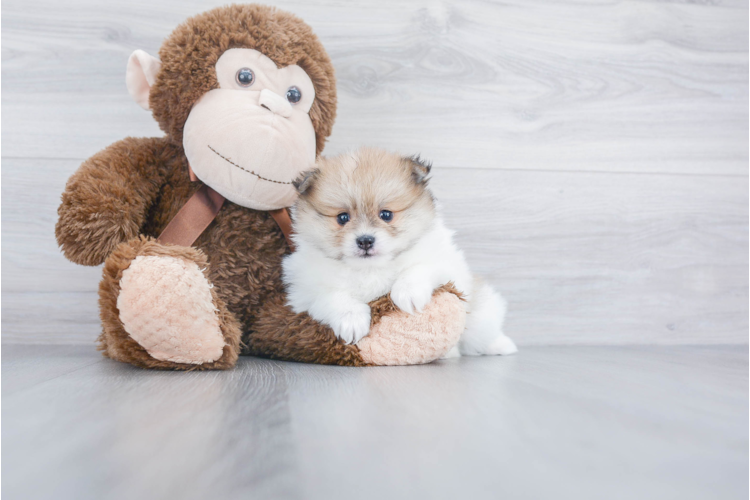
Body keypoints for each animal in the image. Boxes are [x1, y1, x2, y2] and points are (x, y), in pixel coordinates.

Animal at [282, 146, 516, 358]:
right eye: (342, 218)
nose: (365, 240)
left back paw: (501, 345)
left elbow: (419, 267)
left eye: (386, 214)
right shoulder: (304, 291)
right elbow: (333, 297)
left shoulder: (446, 262)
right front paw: (352, 320)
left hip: (480, 315)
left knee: (479, 335)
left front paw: (408, 293)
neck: (370, 269)